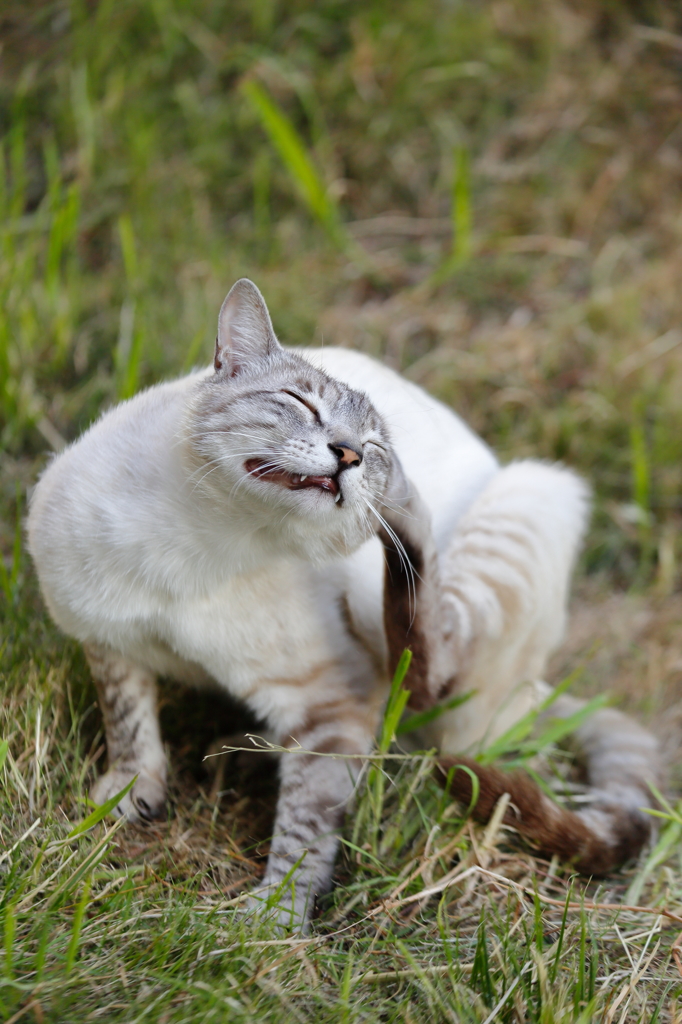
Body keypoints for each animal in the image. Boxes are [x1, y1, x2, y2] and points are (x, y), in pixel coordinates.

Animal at [27, 278, 659, 929]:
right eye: (301, 404)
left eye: (373, 445)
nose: (351, 455)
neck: (202, 545)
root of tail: (534, 687)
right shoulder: (102, 635)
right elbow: (128, 721)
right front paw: (129, 797)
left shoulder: (331, 709)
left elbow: (304, 831)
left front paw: (270, 924)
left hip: (528, 497)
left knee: (427, 660)